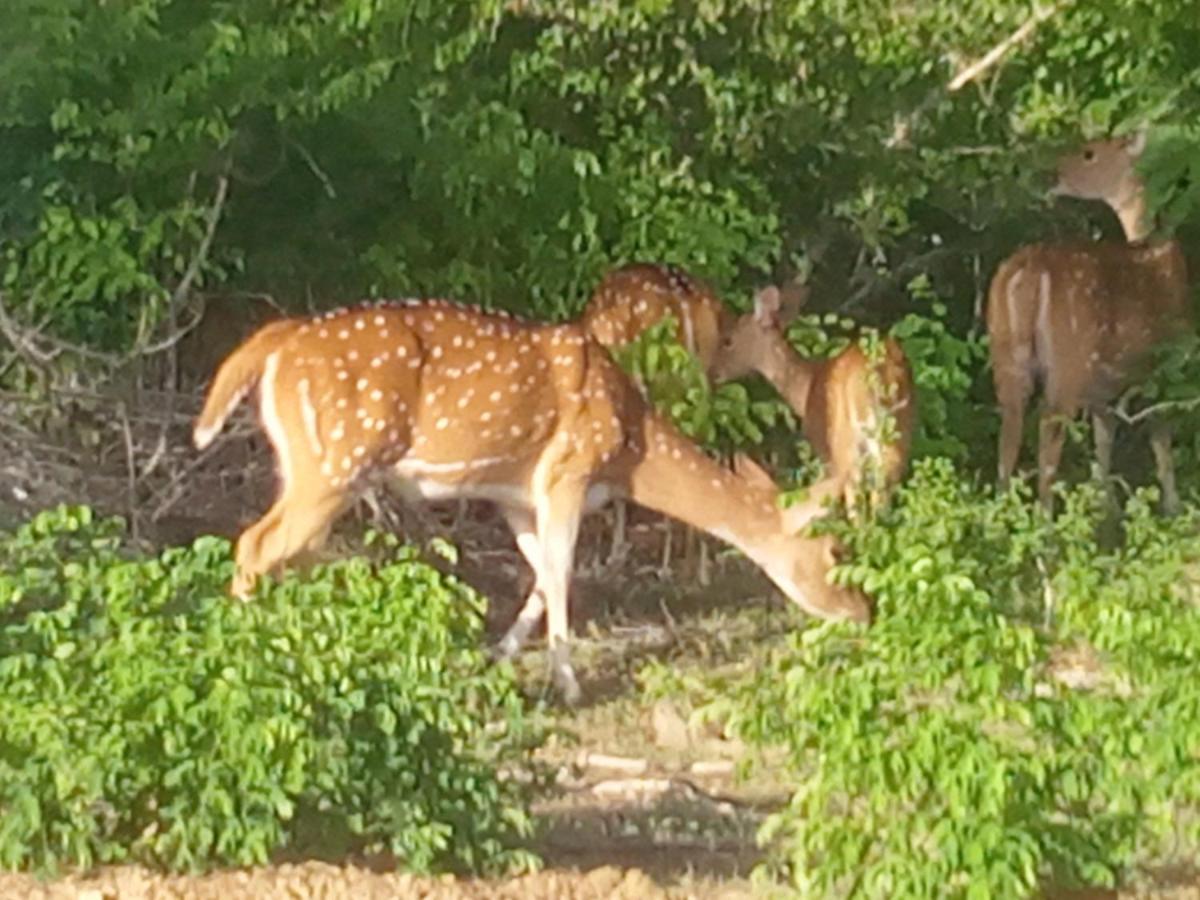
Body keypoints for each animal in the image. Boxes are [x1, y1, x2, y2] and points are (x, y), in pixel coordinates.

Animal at [194, 301, 873, 705]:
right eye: (832, 552)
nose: (863, 611)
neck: (629, 446)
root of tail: (274, 345)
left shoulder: (518, 493)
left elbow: (541, 571)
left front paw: (502, 651)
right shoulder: (568, 471)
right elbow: (563, 571)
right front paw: (568, 683)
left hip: (306, 464)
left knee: (290, 549)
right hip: (333, 462)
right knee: (256, 544)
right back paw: (249, 650)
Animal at [705, 283, 912, 528]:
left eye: (728, 340)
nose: (712, 372)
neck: (805, 390)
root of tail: (878, 373)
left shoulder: (824, 449)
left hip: (845, 441)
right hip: (899, 435)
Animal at [984, 133, 1190, 513]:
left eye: (1089, 152)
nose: (1051, 173)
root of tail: (1025, 274)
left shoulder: (1104, 386)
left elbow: (1102, 445)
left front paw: (1103, 507)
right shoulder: (1163, 365)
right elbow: (1160, 436)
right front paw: (1172, 507)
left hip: (1006, 354)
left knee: (1010, 429)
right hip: (1069, 357)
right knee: (1048, 429)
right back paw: (1045, 521)